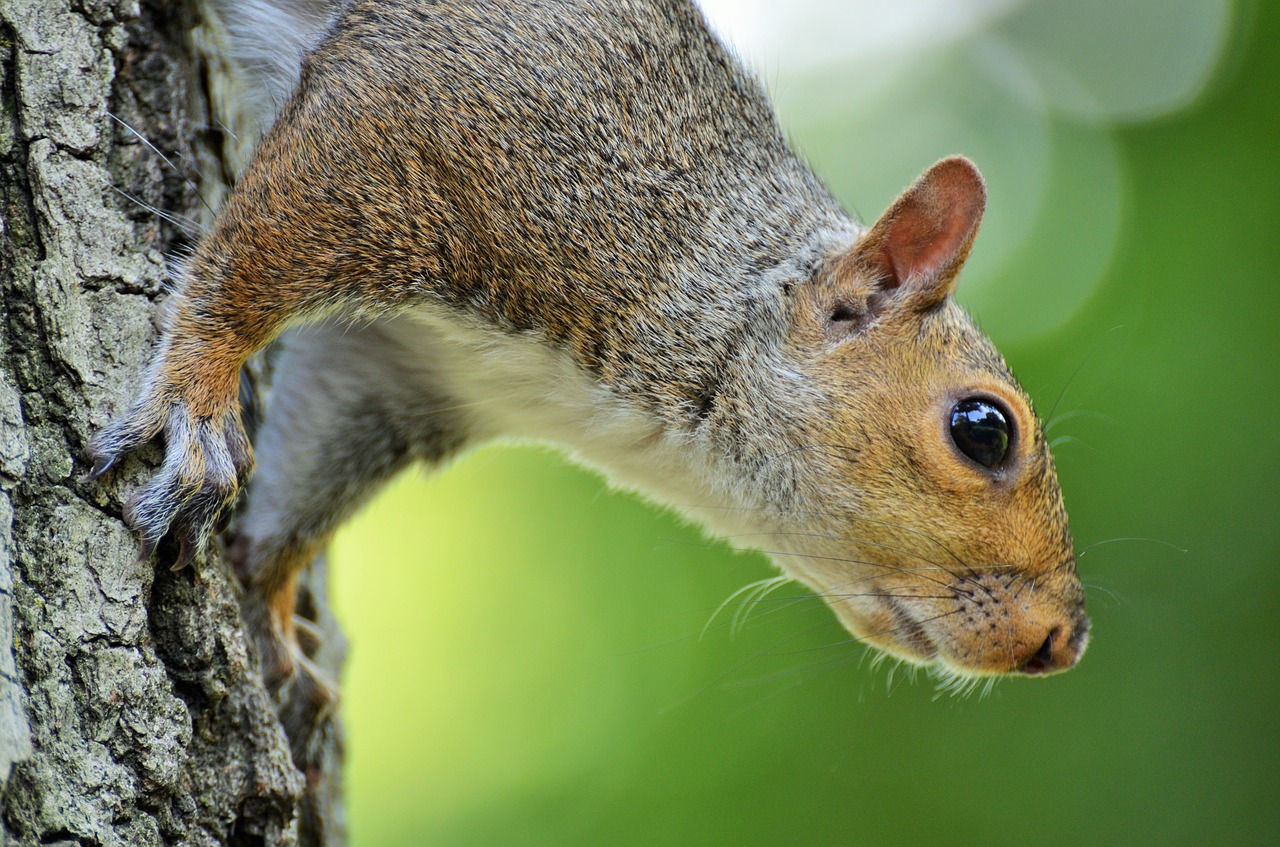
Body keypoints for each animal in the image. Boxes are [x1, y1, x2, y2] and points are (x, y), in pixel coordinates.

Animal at [90, 0, 1090, 757]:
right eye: (983, 428)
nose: (1064, 641)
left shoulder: (401, 371)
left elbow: (306, 484)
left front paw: (270, 605)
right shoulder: (433, 111)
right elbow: (245, 267)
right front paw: (199, 397)